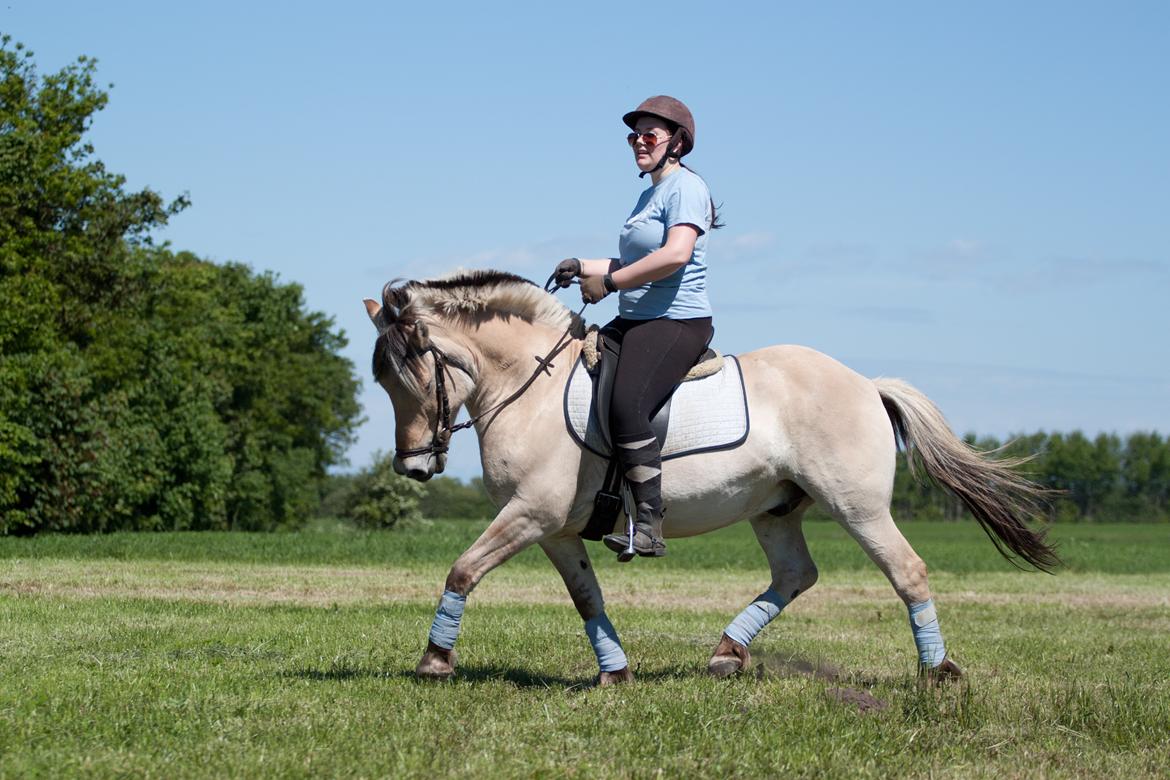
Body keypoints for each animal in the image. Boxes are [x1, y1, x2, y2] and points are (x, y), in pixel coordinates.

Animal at [365, 271, 1062, 687]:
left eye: (412, 375)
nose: (413, 467)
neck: (527, 387)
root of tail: (866, 384)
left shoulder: (530, 514)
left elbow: (462, 568)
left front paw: (434, 660)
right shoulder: (552, 529)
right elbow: (587, 598)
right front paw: (614, 672)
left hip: (857, 507)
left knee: (907, 571)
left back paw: (939, 671)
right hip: (776, 509)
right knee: (796, 574)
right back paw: (728, 652)